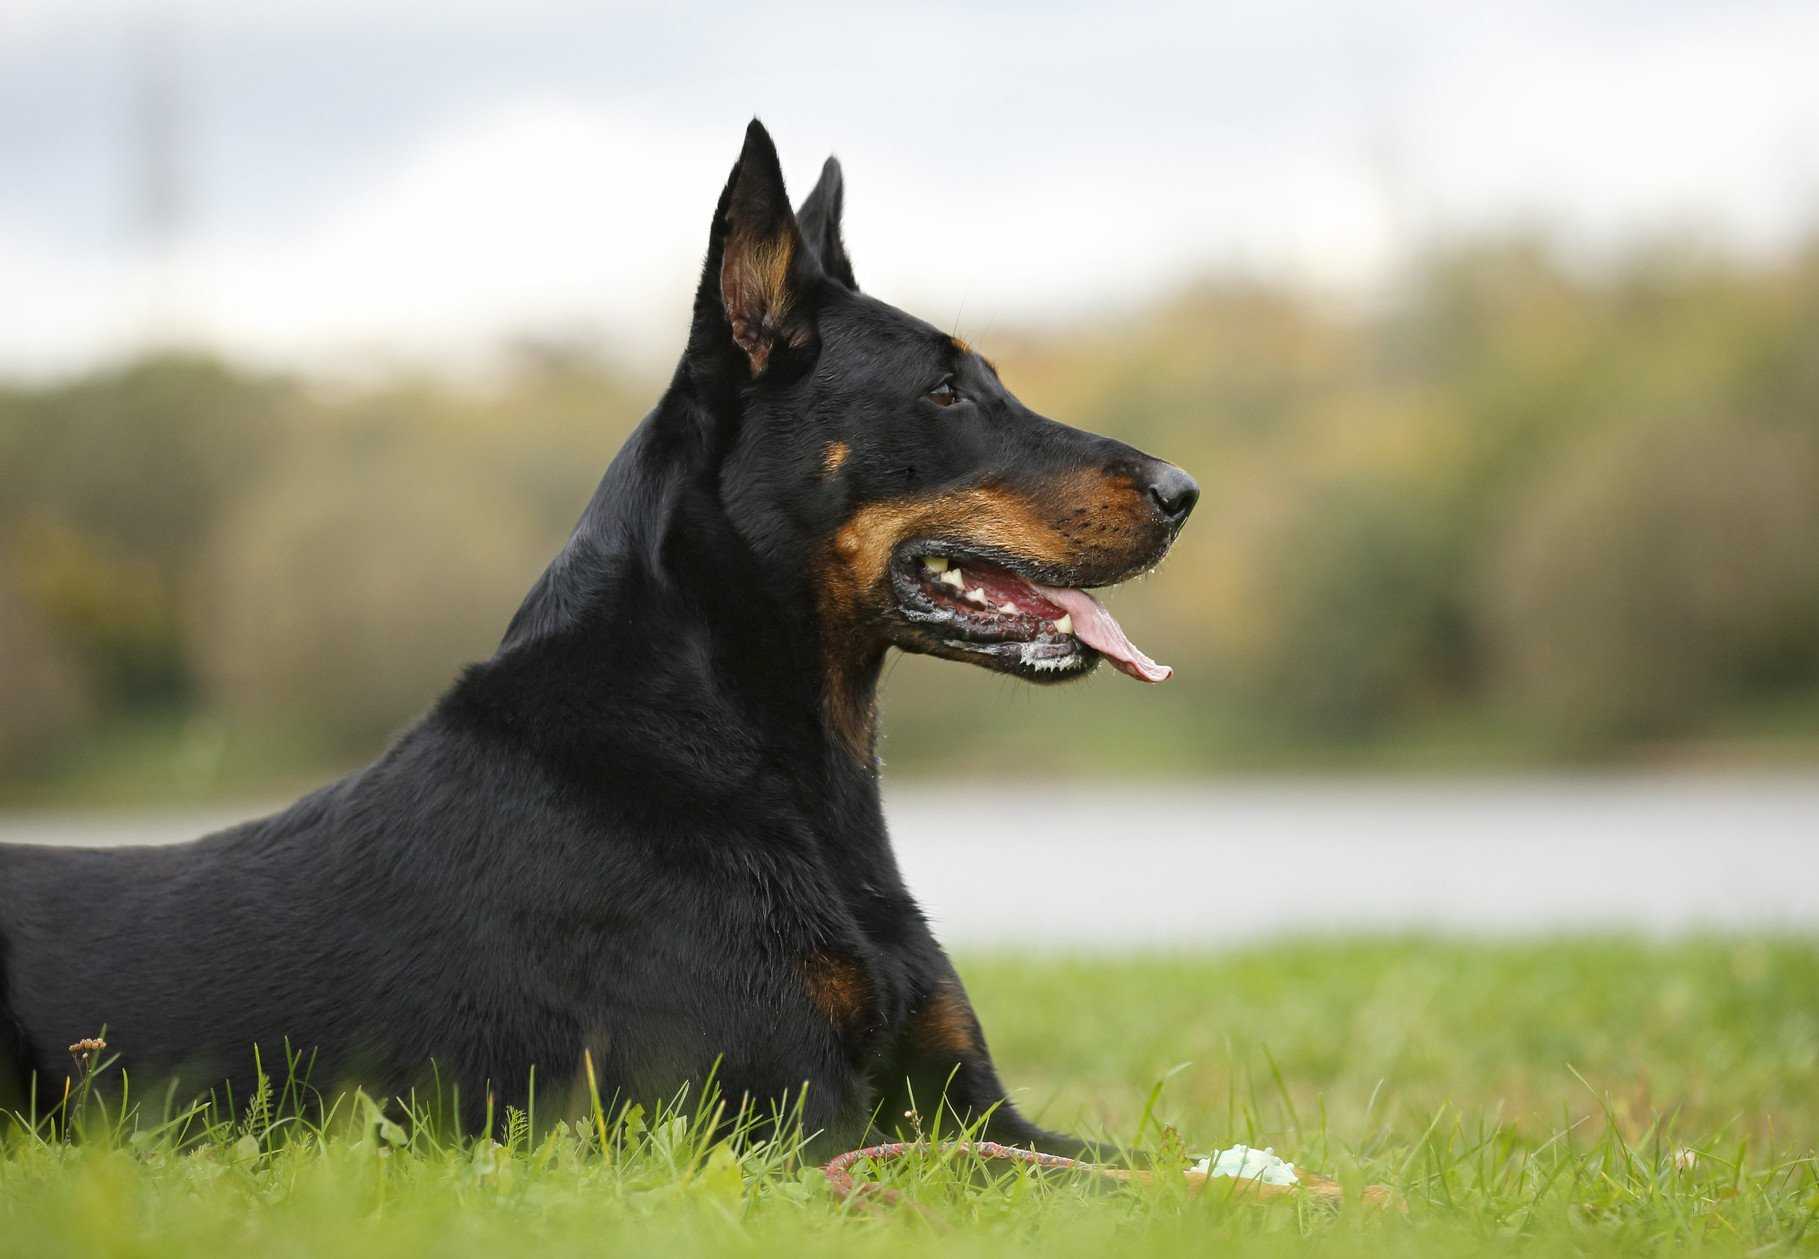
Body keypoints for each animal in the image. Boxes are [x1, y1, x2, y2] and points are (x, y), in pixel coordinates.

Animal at [0, 122, 1200, 1157]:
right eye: (945, 389)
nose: (1184, 491)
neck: (770, 754)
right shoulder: (786, 1121)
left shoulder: (977, 1107)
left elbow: (1168, 1166)